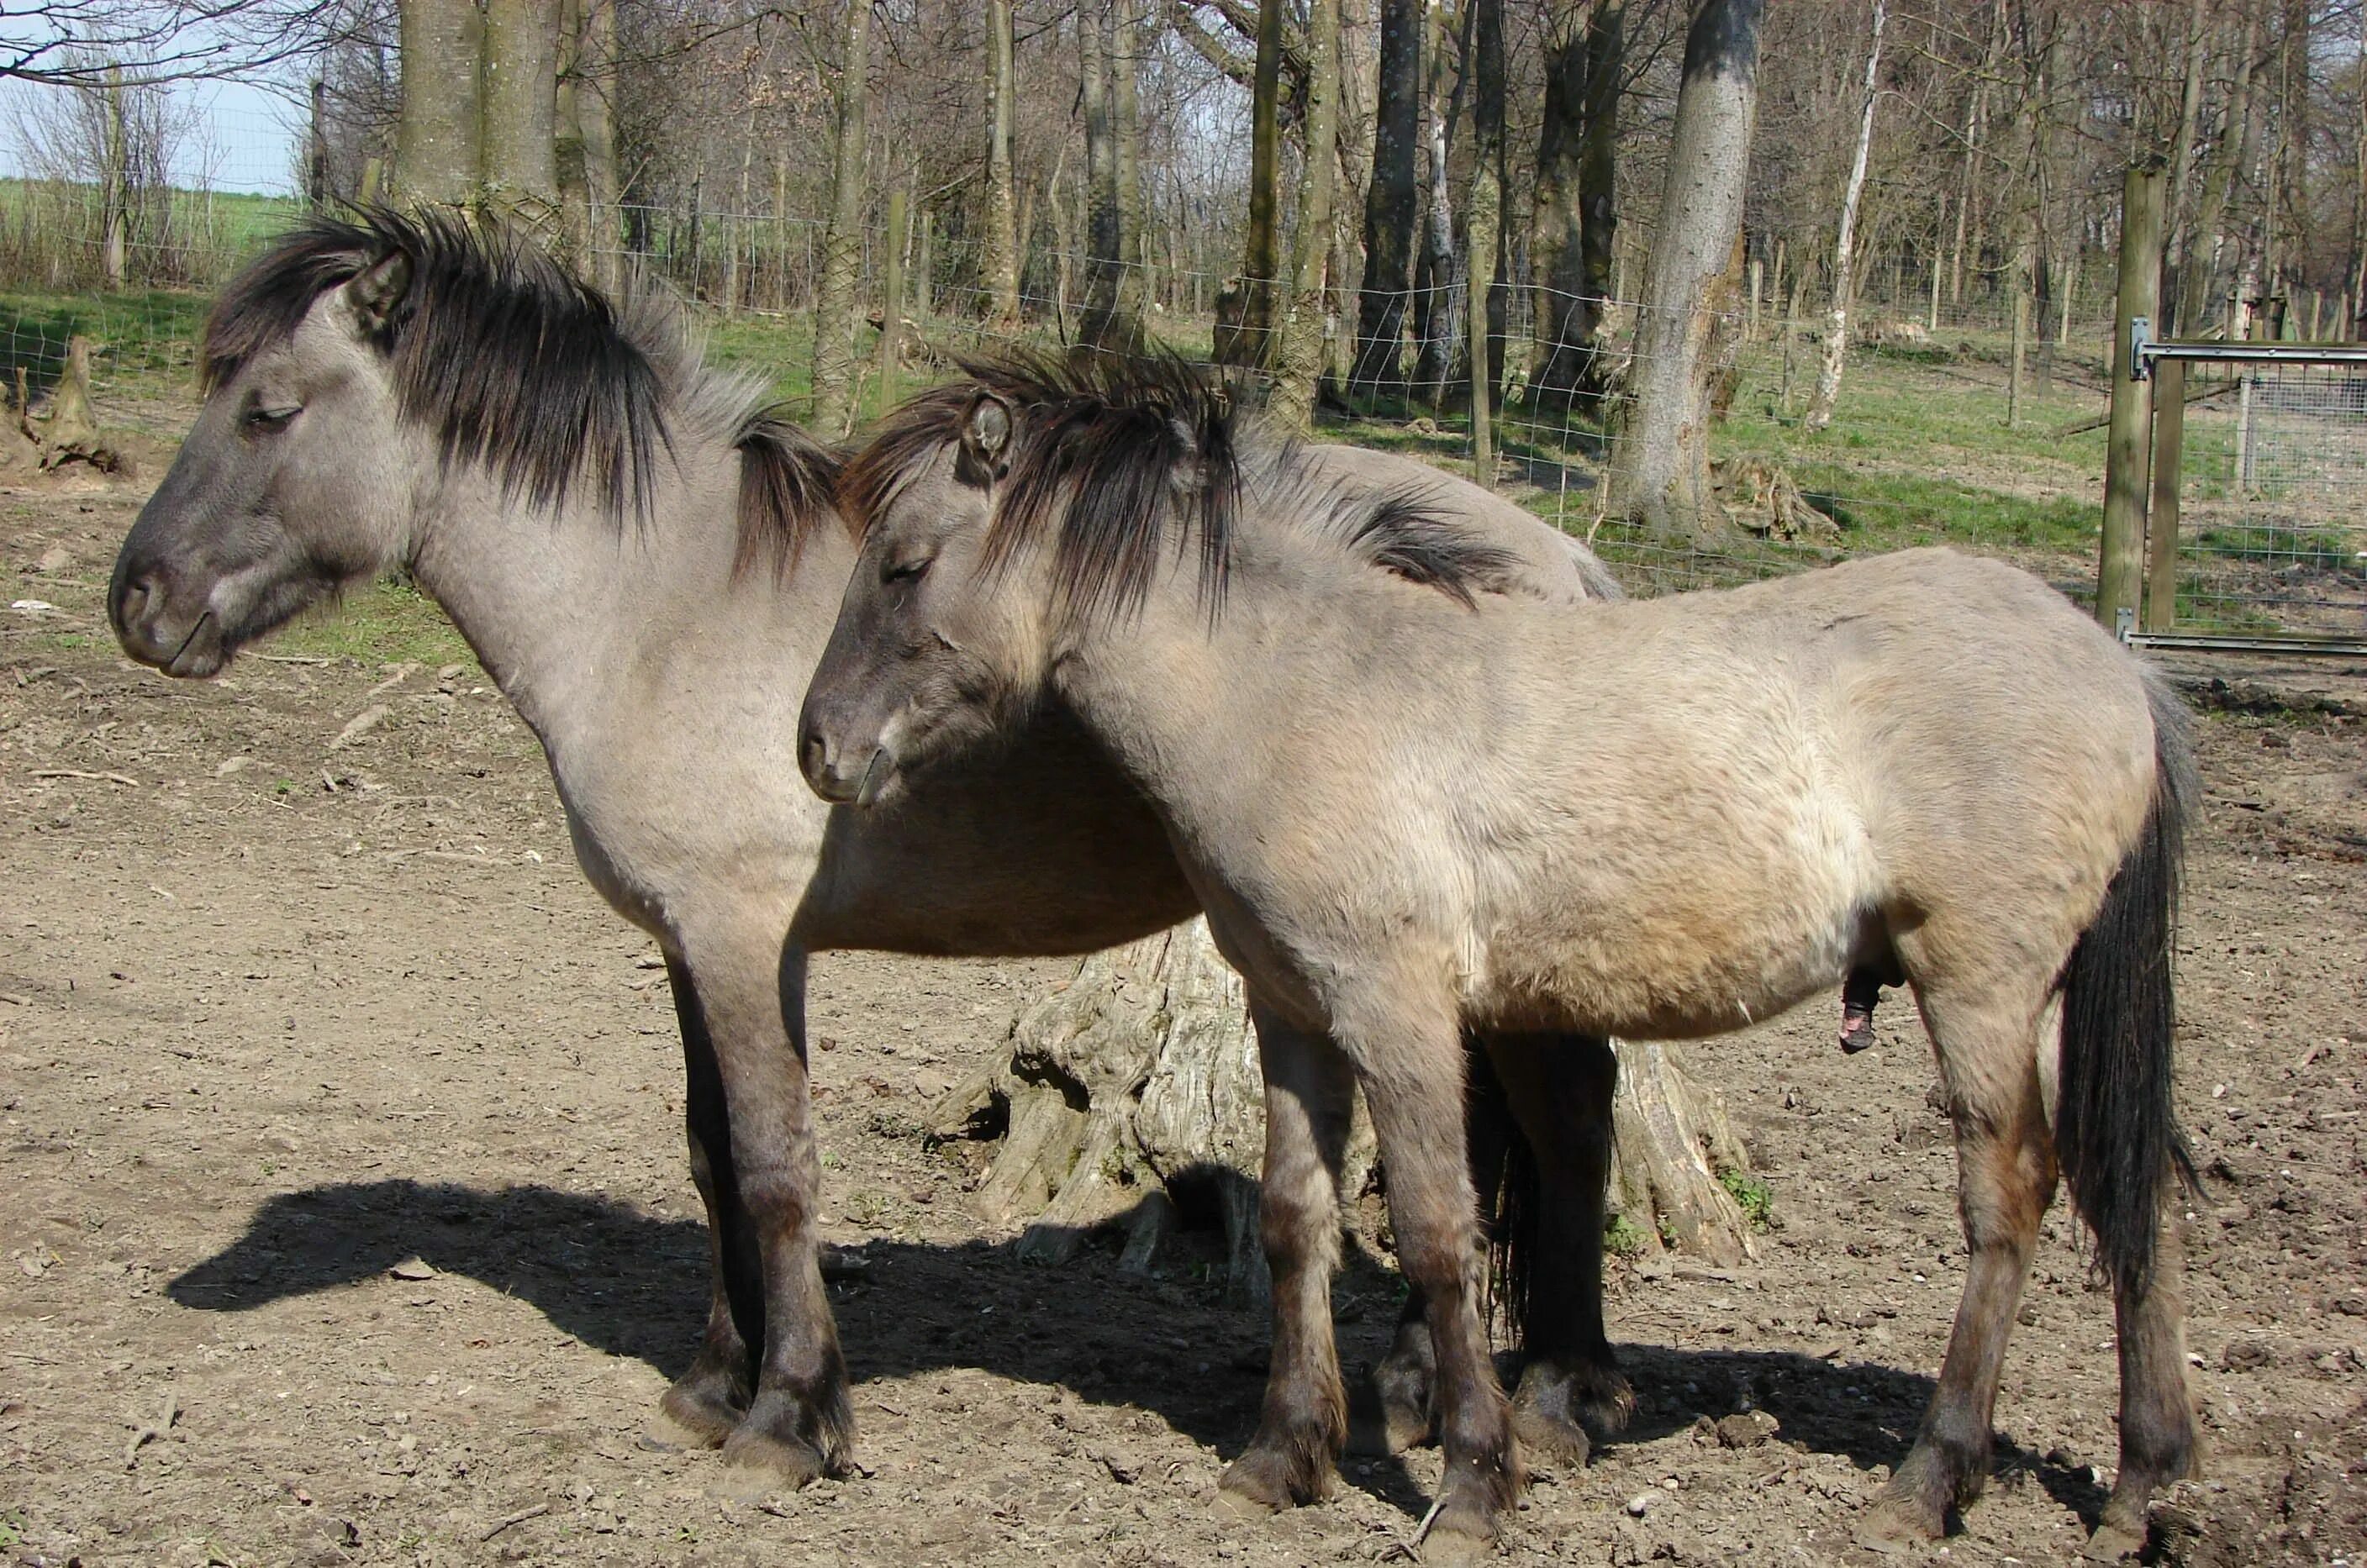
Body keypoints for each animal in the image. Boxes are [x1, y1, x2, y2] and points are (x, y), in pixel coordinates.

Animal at [106, 215, 1628, 1494]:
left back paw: (1556, 1397)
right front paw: (714, 1383)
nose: (138, 602)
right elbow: (711, 1148)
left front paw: (790, 1415)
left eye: (268, 408)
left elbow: (778, 1163)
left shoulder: (743, 940)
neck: (660, 607)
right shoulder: (685, 943)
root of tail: (1565, 562)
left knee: (1566, 1129)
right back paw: (1427, 1389)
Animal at [809, 359, 2196, 1560]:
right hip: (2045, 1002)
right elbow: (1297, 1217)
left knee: (2009, 1198)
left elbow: (1436, 1226)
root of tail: (2122, 669)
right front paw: (1283, 1455)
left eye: (906, 562)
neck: (1307, 689)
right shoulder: (1292, 1009)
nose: (818, 745)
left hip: (1981, 985)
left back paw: (1931, 1475)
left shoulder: (1398, 1008)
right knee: (2124, 1183)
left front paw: (1475, 1480)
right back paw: (2145, 1480)